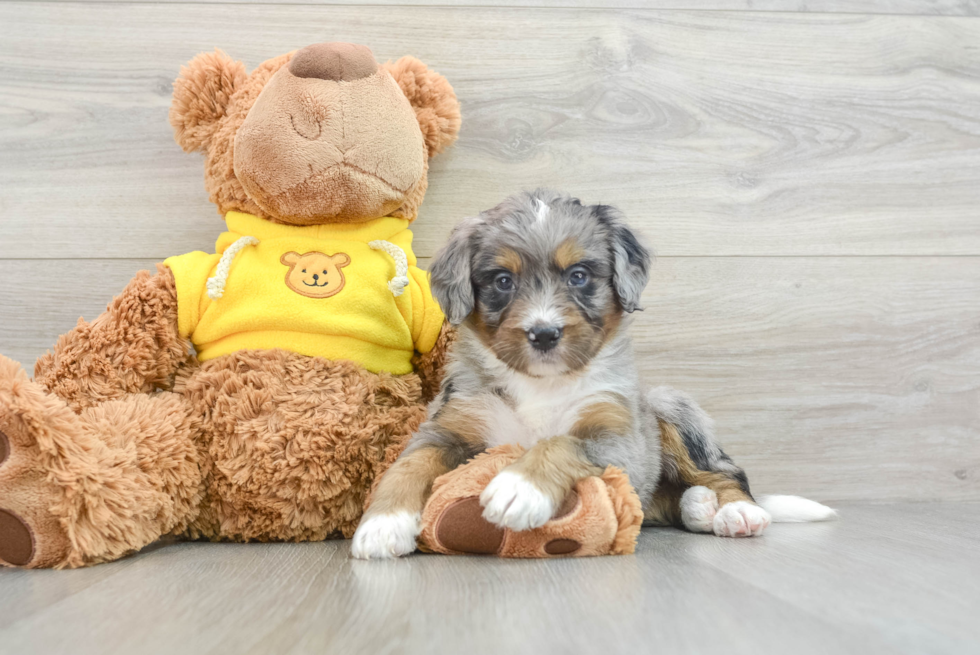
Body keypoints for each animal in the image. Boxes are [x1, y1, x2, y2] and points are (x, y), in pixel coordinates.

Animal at [352, 188, 836, 560]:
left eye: (579, 276)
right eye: (503, 281)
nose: (544, 333)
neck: (541, 384)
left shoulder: (617, 437)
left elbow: (561, 442)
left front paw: (517, 487)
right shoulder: (447, 426)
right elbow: (409, 464)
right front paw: (382, 524)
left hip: (668, 406)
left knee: (726, 471)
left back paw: (736, 512)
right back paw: (699, 508)